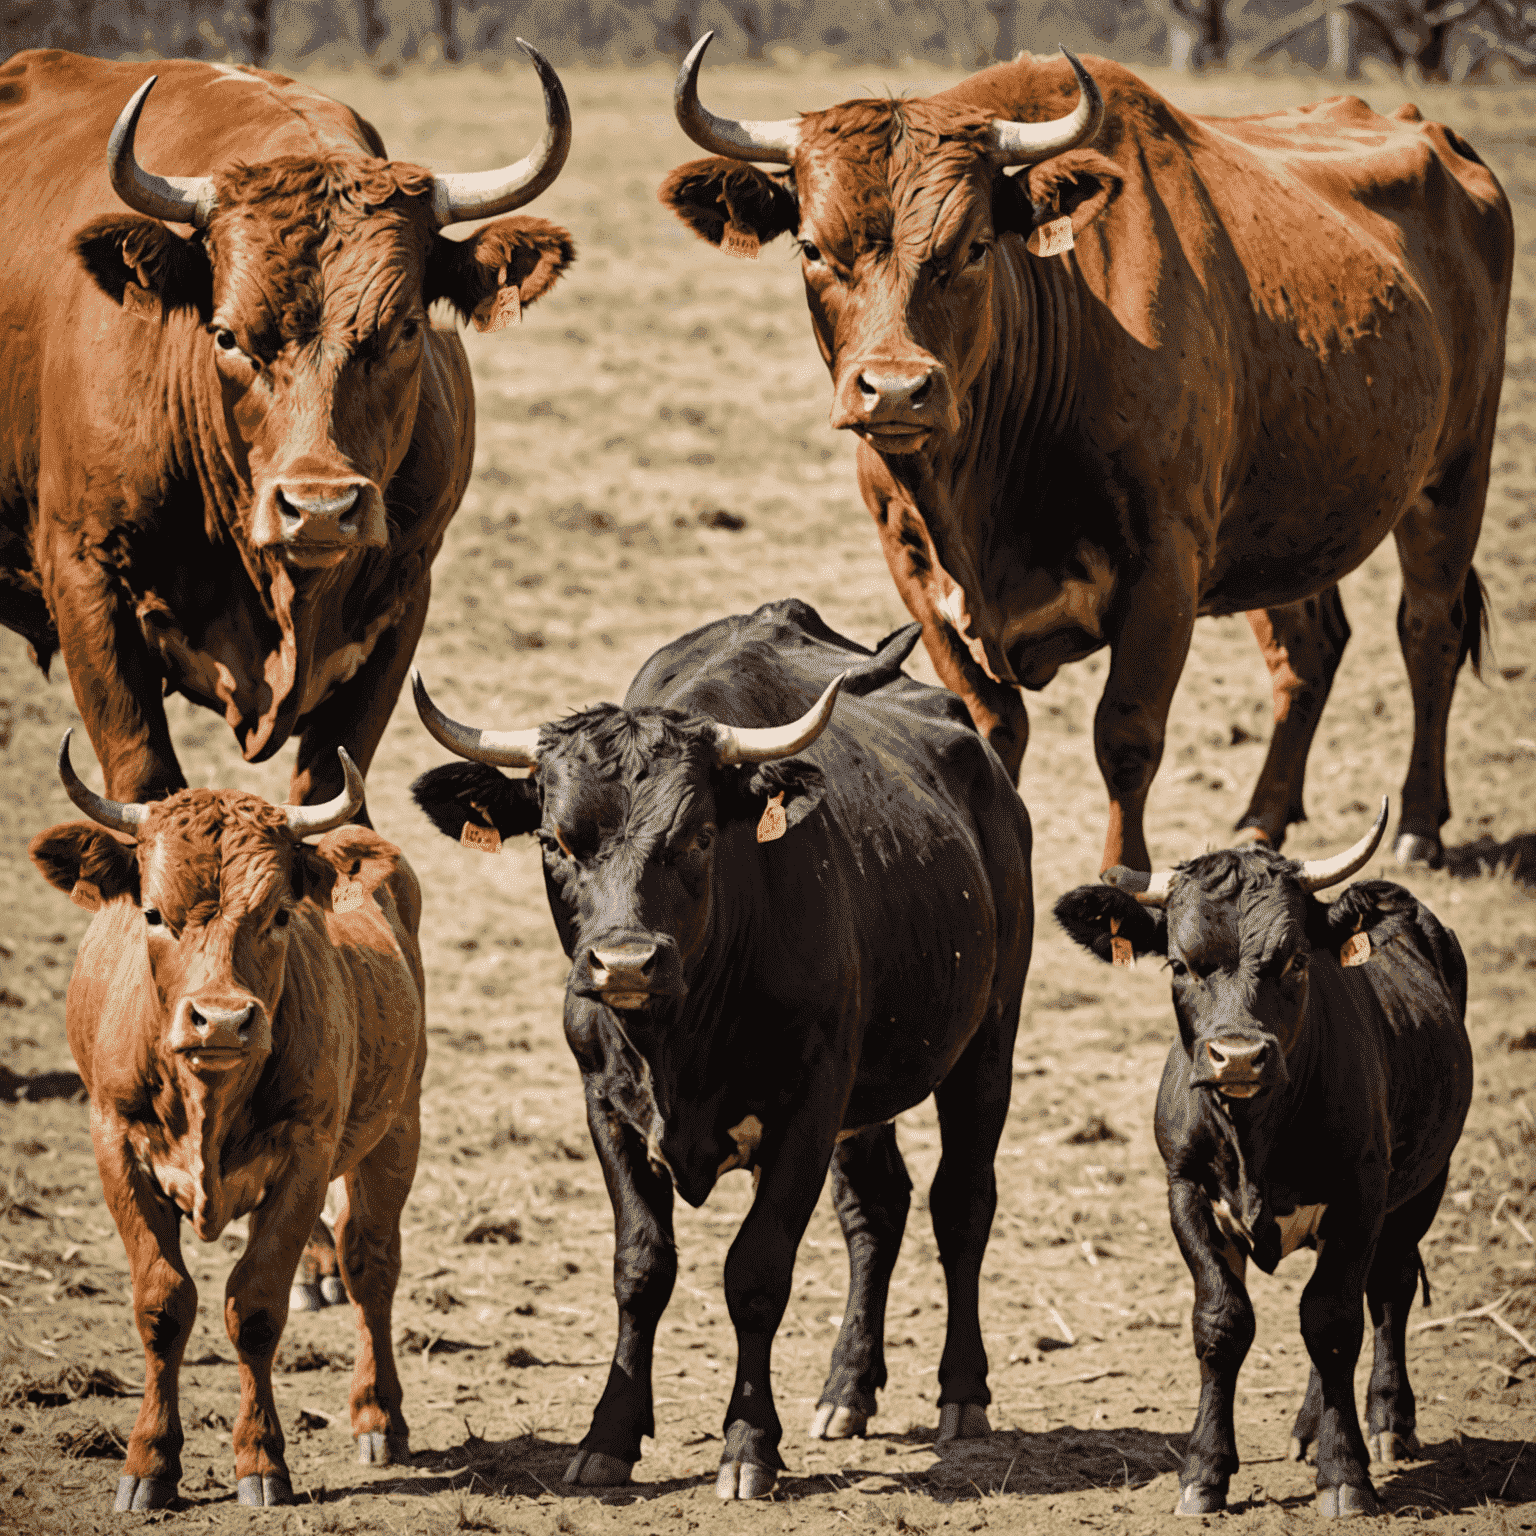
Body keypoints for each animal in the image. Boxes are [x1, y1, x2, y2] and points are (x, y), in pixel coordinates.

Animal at [0, 44, 574, 817]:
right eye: (226, 335)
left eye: (406, 329)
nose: (321, 508)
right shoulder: (86, 576)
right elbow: (144, 784)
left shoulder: (401, 603)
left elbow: (332, 794)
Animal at [25, 734, 433, 1511]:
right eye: (154, 913)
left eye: (277, 915)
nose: (219, 1019)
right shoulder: (116, 1146)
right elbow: (162, 1304)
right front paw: (149, 1463)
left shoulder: (306, 1159)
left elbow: (257, 1305)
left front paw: (261, 1460)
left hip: (398, 1126)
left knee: (371, 1265)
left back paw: (379, 1417)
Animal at [408, 599, 1032, 1499]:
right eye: (557, 842)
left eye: (700, 837)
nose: (625, 961)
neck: (680, 1041)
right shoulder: (608, 1107)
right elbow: (641, 1267)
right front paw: (609, 1436)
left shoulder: (808, 1108)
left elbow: (756, 1272)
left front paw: (748, 1445)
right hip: (868, 1096)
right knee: (876, 1209)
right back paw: (847, 1389)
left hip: (988, 1040)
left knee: (962, 1204)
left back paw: (962, 1392)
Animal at [660, 38, 1511, 878]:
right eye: (812, 248)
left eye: (974, 248)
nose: (896, 390)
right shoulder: (913, 566)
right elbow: (993, 724)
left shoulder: (1165, 563)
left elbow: (1126, 736)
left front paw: (1122, 875)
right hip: (1286, 514)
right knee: (1308, 652)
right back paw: (1264, 819)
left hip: (1454, 474)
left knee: (1427, 631)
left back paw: (1420, 825)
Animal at [1062, 835, 1468, 1517]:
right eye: (1180, 966)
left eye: (1295, 961)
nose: (1238, 1057)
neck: (1256, 1139)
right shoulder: (1186, 1191)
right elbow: (1223, 1321)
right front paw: (1204, 1471)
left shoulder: (1363, 1195)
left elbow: (1333, 1323)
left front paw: (1345, 1474)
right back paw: (1308, 1429)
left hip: (1423, 1185)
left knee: (1386, 1292)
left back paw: (1387, 1420)